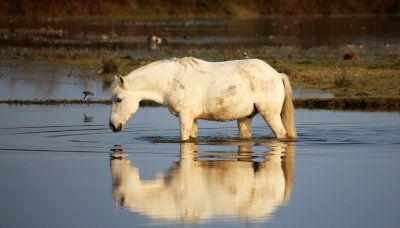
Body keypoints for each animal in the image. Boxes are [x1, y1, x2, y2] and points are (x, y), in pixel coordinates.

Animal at [109, 57, 296, 140]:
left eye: (119, 99)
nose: (112, 126)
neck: (174, 80)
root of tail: (276, 74)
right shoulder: (192, 119)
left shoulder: (185, 118)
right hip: (245, 118)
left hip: (270, 115)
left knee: (281, 134)